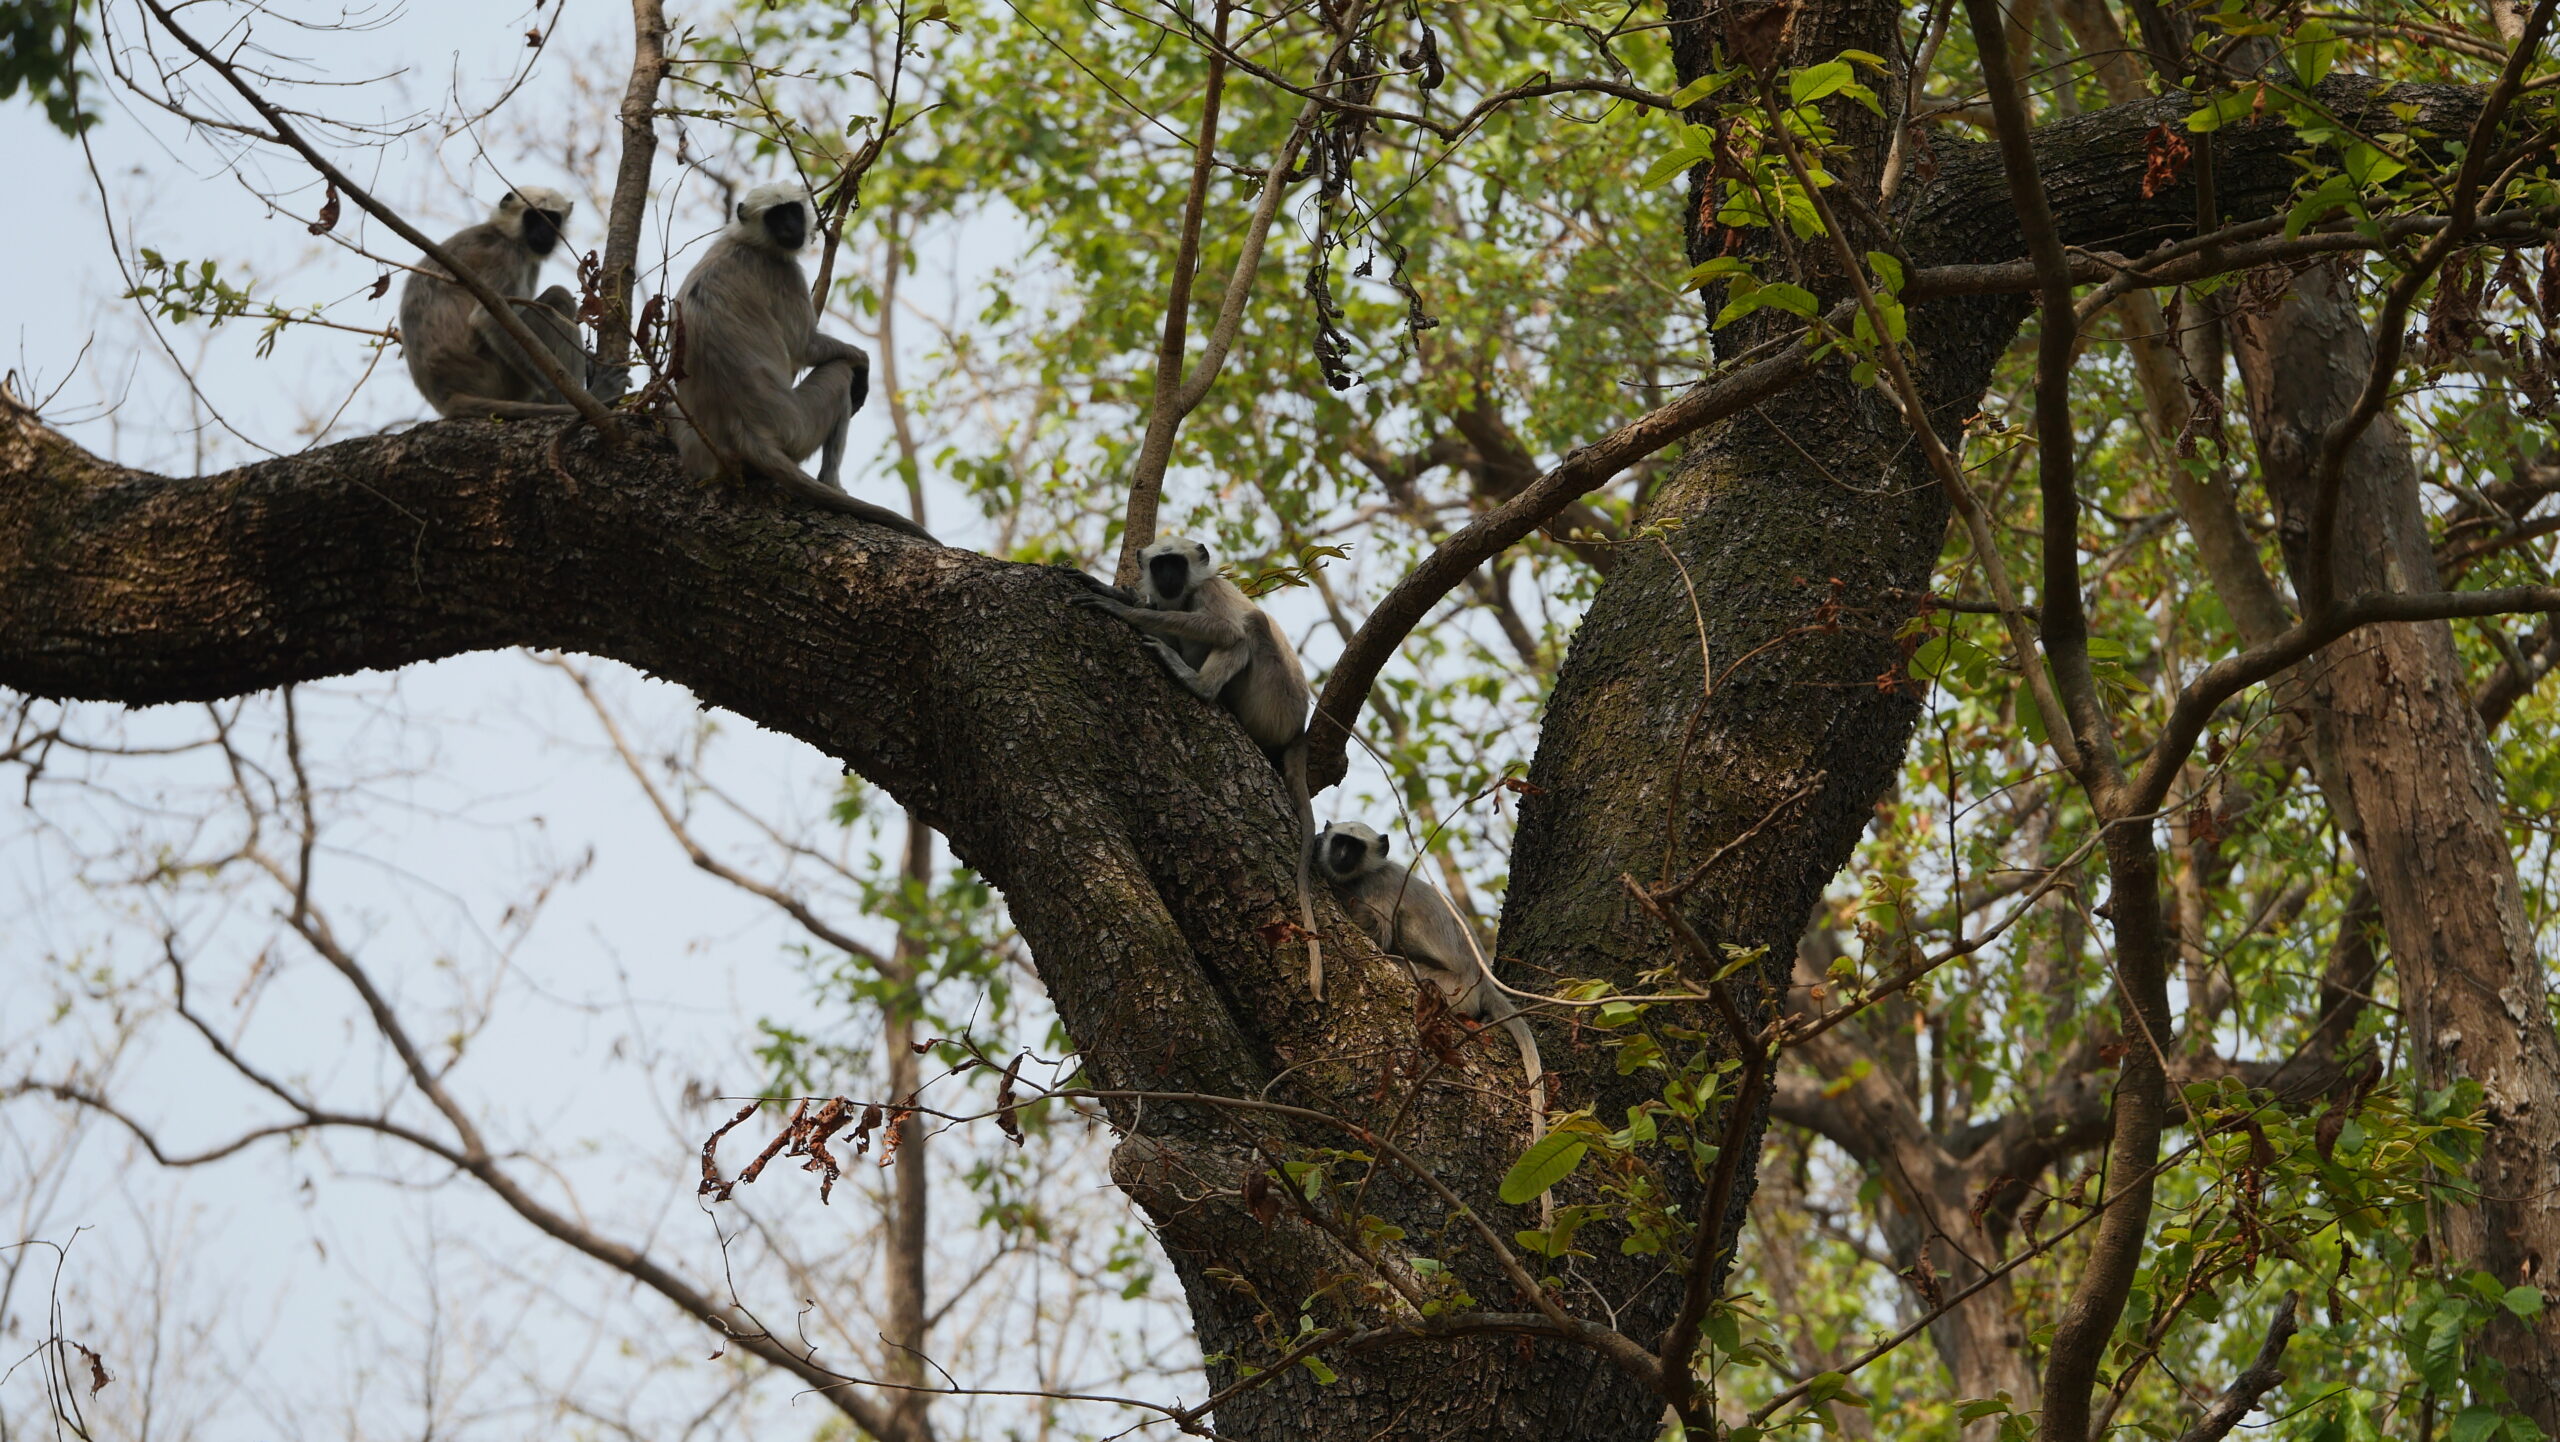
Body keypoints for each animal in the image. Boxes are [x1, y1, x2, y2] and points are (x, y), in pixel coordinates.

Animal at [396, 189, 627, 420]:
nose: (544, 233)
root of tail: (445, 395)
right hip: (496, 376)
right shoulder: (504, 255)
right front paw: (567, 397)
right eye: (533, 218)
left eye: (551, 219)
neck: (505, 235)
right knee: (557, 298)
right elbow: (486, 319)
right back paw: (594, 396)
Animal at [665, 180, 936, 542]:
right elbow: (804, 347)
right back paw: (831, 482)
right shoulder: (783, 271)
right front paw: (862, 361)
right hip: (798, 427)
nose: (791, 228)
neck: (744, 242)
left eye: (791, 211)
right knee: (838, 374)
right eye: (776, 217)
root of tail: (743, 426)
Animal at [1070, 535, 1331, 998]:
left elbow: (1227, 630)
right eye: (1160, 566)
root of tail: (1297, 726)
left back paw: (1199, 685)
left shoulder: (1208, 592)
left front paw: (1120, 607)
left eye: (1176, 564)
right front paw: (1119, 593)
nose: (1169, 579)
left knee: (1248, 629)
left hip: (1270, 704)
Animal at [1310, 824, 1546, 1173]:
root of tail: (1482, 982)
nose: (1340, 855)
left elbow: (1377, 934)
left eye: (1353, 848)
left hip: (1446, 989)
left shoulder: (1376, 887)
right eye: (1339, 842)